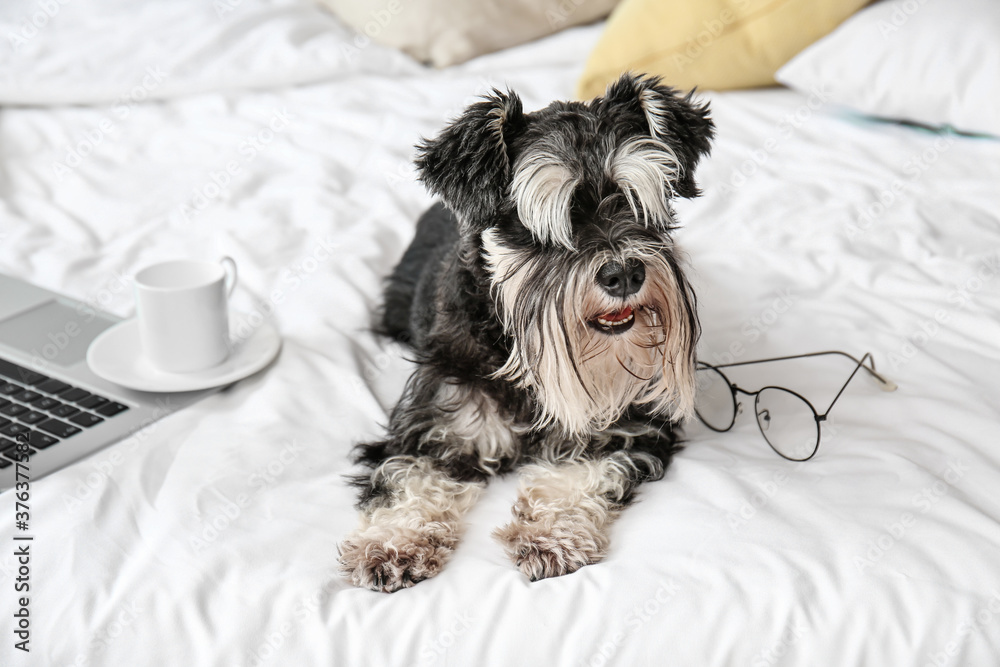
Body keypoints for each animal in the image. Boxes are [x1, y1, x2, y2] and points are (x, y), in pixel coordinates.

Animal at [340, 74, 716, 596]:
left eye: (639, 202)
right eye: (540, 223)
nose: (624, 273)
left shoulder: (623, 427)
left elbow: (581, 474)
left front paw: (553, 536)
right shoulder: (431, 428)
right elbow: (407, 481)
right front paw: (391, 544)